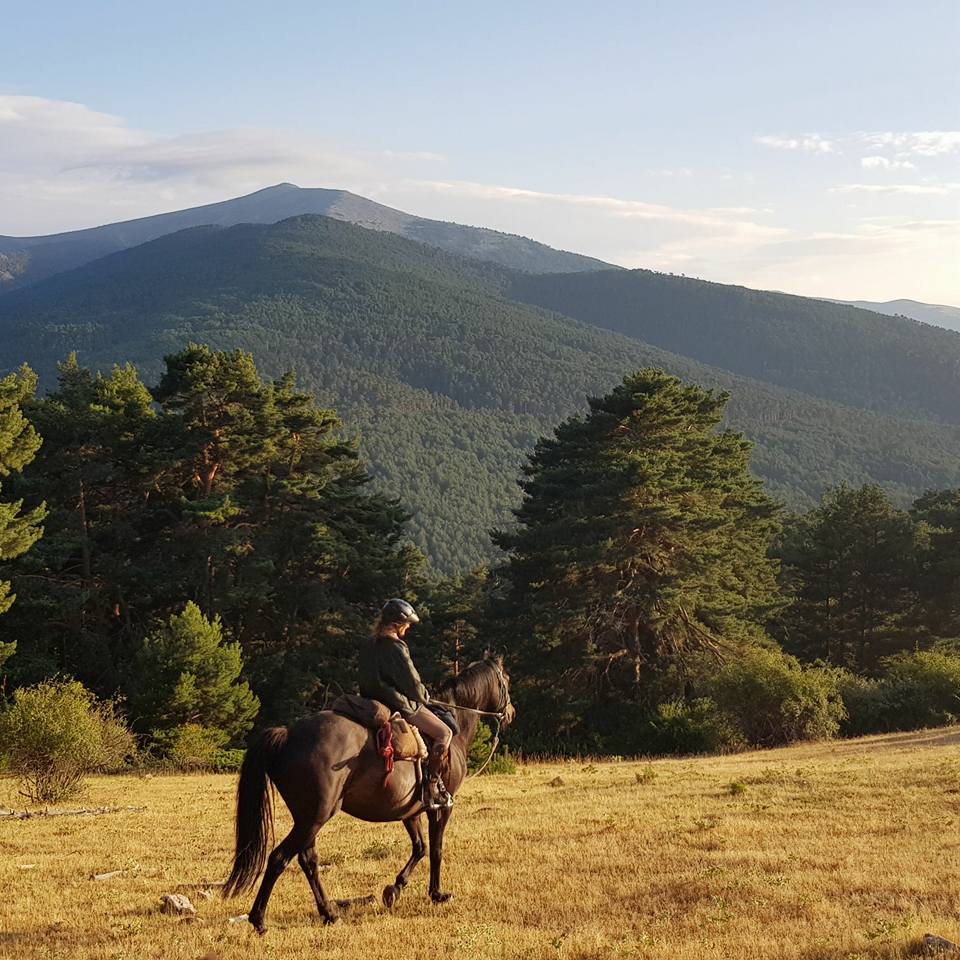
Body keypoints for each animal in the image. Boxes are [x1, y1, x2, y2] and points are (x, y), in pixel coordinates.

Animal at [223, 657, 514, 934]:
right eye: (506, 680)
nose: (510, 712)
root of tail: (287, 735)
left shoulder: (410, 811)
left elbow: (419, 848)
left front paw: (394, 889)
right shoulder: (441, 807)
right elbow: (436, 849)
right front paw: (436, 894)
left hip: (307, 819)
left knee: (308, 860)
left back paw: (329, 913)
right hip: (315, 817)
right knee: (279, 859)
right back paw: (259, 920)